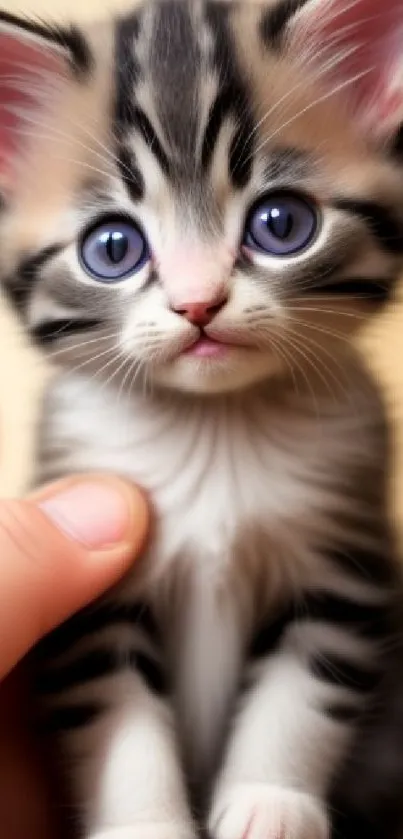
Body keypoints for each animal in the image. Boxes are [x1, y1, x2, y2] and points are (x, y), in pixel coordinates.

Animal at [0, 0, 403, 836]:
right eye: (112, 246)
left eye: (280, 224)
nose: (197, 304)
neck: (213, 425)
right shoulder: (98, 607)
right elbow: (115, 715)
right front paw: (147, 822)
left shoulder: (342, 559)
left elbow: (301, 692)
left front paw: (270, 799)